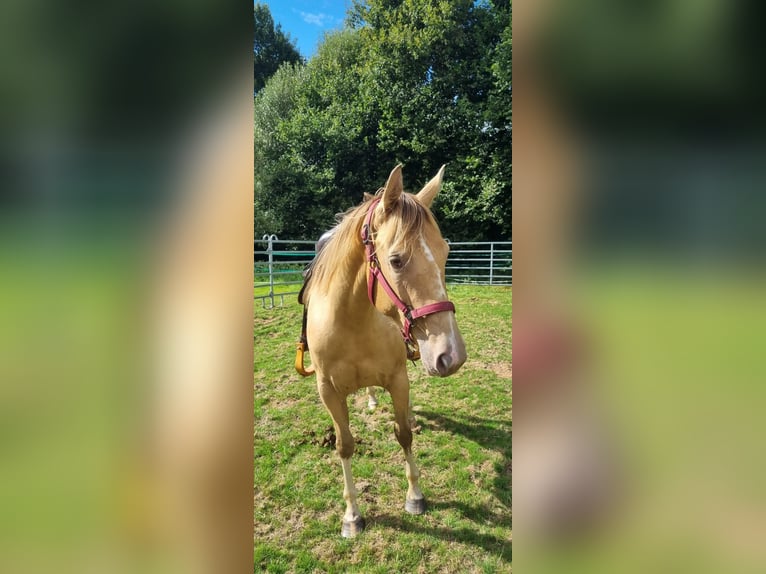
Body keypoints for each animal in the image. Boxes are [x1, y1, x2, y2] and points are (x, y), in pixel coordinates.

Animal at [300, 164, 467, 537]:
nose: (451, 356)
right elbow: (344, 445)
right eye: (397, 260)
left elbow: (403, 434)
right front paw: (352, 515)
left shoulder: (398, 378)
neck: (352, 319)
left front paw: (415, 496)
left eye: (446, 252)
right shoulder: (327, 391)